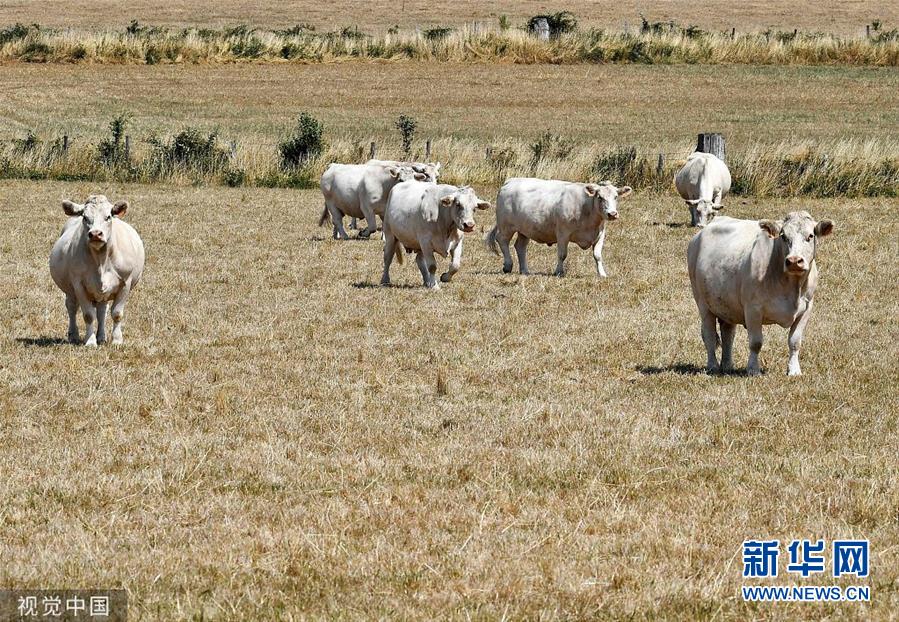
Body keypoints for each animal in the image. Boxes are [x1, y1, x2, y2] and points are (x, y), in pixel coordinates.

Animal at [49, 195, 145, 346]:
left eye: (108, 217)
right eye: (85, 217)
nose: (95, 234)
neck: (101, 260)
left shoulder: (126, 283)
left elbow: (117, 314)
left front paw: (117, 340)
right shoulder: (79, 285)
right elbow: (88, 315)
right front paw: (90, 341)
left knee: (101, 311)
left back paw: (101, 336)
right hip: (70, 290)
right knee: (72, 308)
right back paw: (74, 335)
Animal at [486, 178, 632, 278]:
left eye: (616, 197)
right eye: (600, 197)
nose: (612, 214)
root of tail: (510, 181)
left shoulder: (600, 235)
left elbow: (597, 255)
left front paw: (602, 274)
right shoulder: (563, 233)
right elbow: (562, 254)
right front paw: (559, 271)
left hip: (525, 230)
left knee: (520, 247)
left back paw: (525, 270)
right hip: (506, 227)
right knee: (502, 240)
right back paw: (508, 265)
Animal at [687, 211, 834, 376]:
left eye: (810, 236)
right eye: (783, 236)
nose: (794, 261)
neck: (791, 287)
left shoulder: (806, 309)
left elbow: (795, 342)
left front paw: (794, 370)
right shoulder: (753, 309)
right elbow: (756, 343)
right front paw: (753, 369)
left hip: (727, 306)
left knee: (728, 334)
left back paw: (727, 365)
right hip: (703, 304)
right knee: (710, 335)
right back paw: (712, 366)